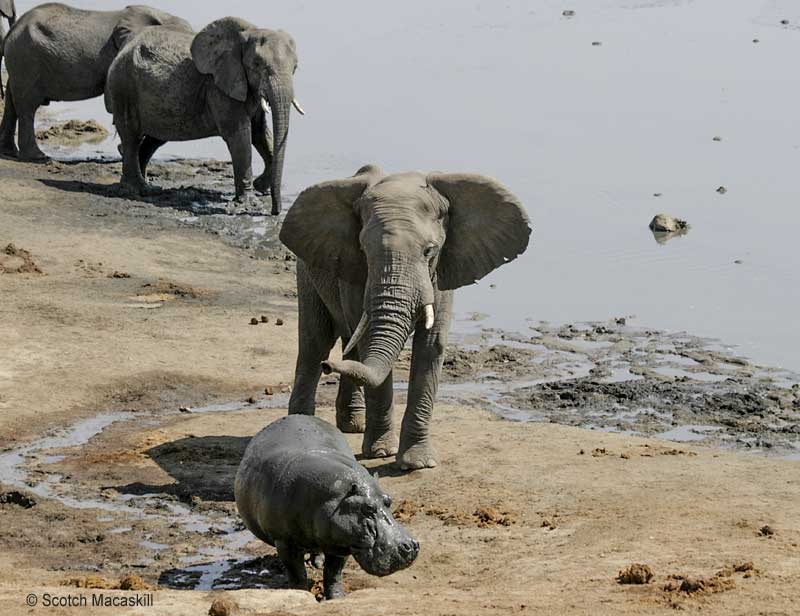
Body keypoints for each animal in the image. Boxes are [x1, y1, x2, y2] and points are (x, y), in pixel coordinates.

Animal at [0, 3, 192, 161]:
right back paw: (38, 157)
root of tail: (12, 30)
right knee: (27, 105)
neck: (163, 16)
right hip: (27, 57)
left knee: (12, 100)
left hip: (20, 60)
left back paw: (10, 152)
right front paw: (124, 150)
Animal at [103, 16, 304, 215]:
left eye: (295, 68)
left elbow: (260, 133)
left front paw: (260, 185)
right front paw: (248, 204)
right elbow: (240, 136)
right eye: (256, 65)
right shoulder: (218, 88)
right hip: (123, 87)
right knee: (131, 137)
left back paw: (148, 186)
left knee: (154, 139)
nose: (275, 211)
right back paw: (136, 189)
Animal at [234, 414, 418, 596]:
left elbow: (333, 574)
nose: (411, 545)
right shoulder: (284, 542)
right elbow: (297, 575)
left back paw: (317, 562)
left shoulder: (343, 541)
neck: (333, 498)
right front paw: (301, 594)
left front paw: (336, 597)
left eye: (389, 500)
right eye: (368, 508)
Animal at [278, 164, 536, 466]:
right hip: (306, 270)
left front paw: (417, 463)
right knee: (315, 343)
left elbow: (431, 345)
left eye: (429, 250)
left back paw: (352, 424)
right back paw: (302, 423)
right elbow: (368, 342)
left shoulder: (443, 272)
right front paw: (380, 453)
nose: (328, 367)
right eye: (364, 250)